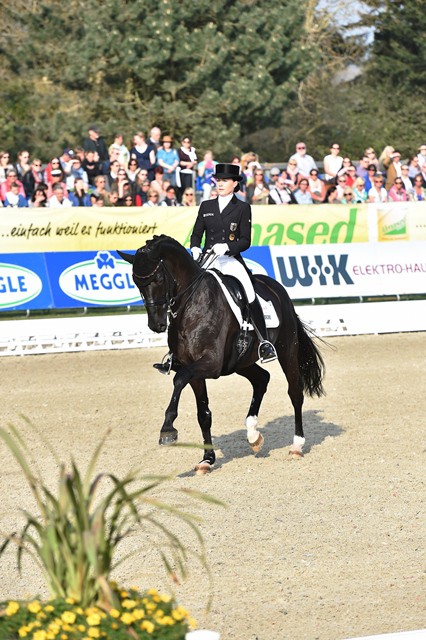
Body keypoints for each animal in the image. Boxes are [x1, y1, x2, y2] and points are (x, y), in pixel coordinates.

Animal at [118, 238, 324, 472]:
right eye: (136, 282)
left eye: (158, 278)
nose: (157, 324)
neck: (192, 304)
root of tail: (277, 288)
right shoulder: (194, 370)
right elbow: (203, 414)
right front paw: (207, 459)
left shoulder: (210, 364)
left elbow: (178, 380)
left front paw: (168, 430)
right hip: (241, 362)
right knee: (262, 379)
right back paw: (253, 435)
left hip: (286, 349)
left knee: (295, 392)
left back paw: (296, 445)